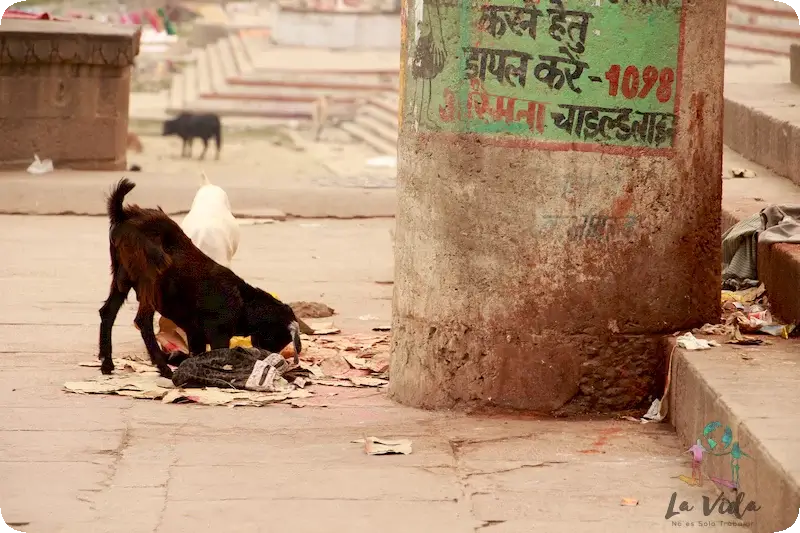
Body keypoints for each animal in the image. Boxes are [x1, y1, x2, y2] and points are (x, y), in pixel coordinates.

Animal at [98, 177, 298, 376]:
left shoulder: (195, 334)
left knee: (108, 312)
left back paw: (107, 363)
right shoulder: (218, 334)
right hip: (151, 273)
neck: (244, 302)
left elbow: (197, 353)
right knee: (143, 320)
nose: (271, 356)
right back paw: (163, 367)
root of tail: (123, 215)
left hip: (121, 275)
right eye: (280, 336)